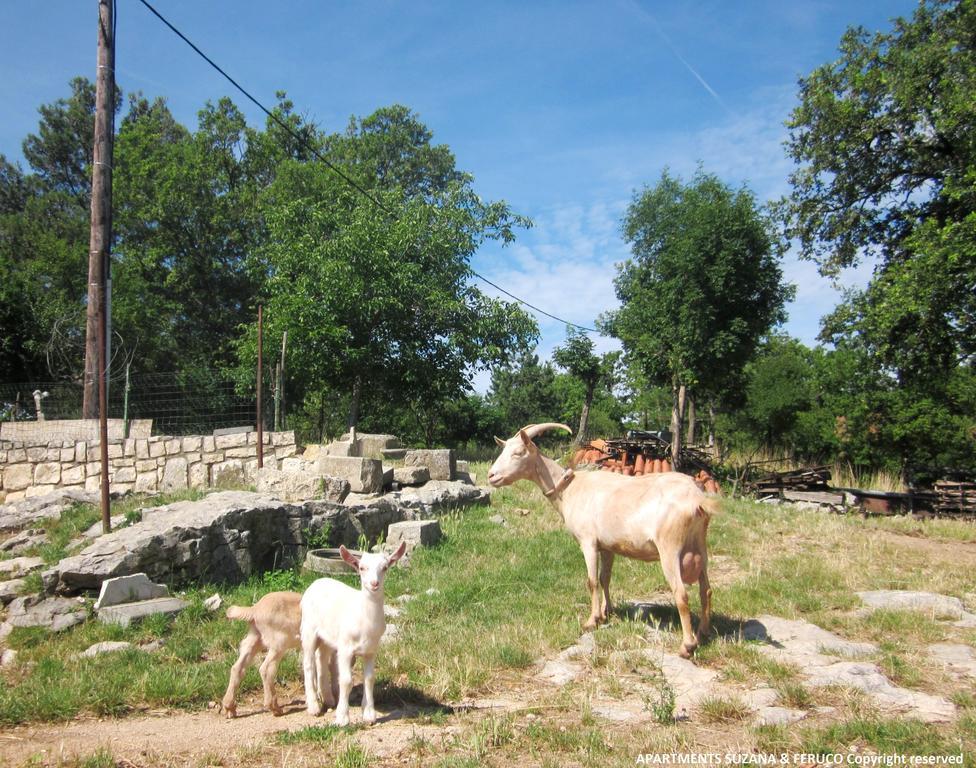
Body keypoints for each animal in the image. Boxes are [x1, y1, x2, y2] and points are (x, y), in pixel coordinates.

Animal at [492, 424, 720, 656]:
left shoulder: (588, 542)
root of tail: (697, 500)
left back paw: (687, 645)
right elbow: (605, 578)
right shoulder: (608, 546)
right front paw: (606, 612)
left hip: (670, 548)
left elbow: (592, 581)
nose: (491, 475)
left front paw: (591, 620)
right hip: (699, 546)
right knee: (706, 590)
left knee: (681, 594)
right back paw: (704, 633)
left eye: (518, 452)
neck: (569, 488)